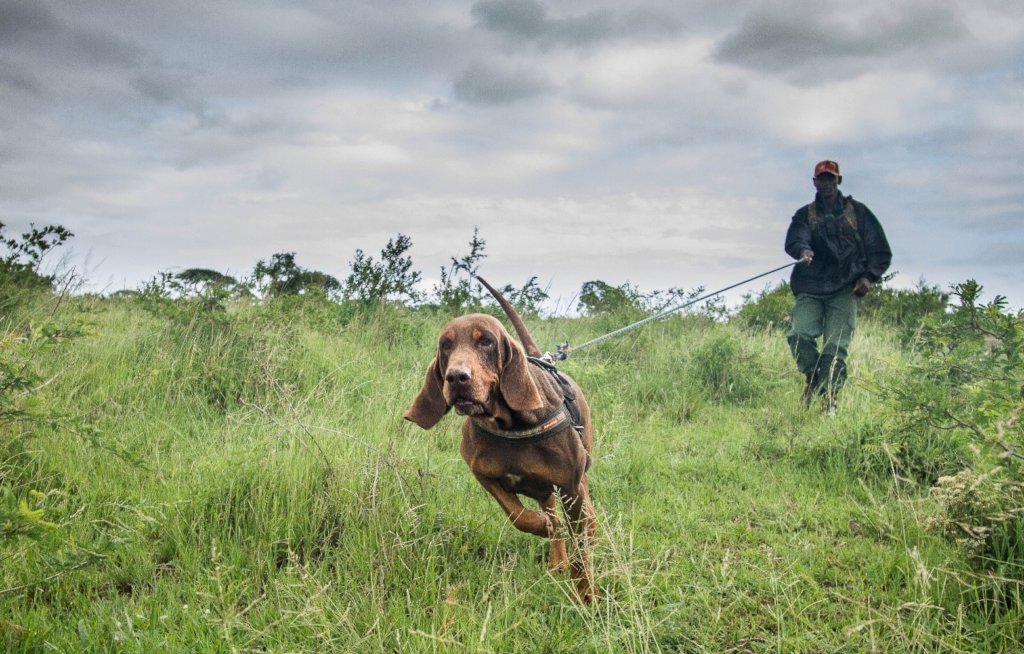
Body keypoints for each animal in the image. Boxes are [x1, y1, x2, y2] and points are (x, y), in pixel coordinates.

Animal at [401, 276, 598, 605]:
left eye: (486, 342)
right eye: (446, 345)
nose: (456, 377)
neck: (510, 423)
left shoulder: (571, 489)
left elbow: (581, 551)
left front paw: (586, 595)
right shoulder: (483, 474)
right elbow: (517, 514)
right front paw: (543, 527)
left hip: (581, 468)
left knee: (585, 502)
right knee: (549, 510)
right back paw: (556, 557)